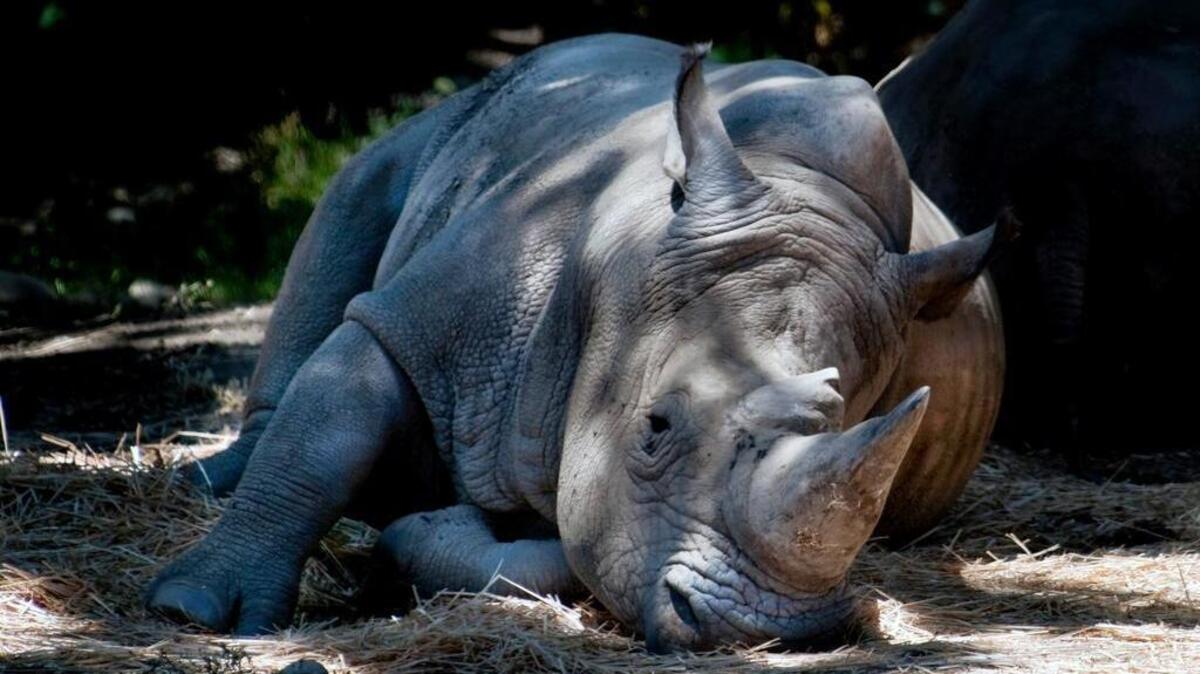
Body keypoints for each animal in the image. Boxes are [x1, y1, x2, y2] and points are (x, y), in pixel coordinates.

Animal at [148, 35, 1008, 651]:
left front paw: (420, 533)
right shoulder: (438, 318)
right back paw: (207, 483)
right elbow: (330, 422)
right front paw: (196, 610)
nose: (767, 629)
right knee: (357, 193)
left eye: (847, 420)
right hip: (461, 116)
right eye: (655, 428)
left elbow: (563, 554)